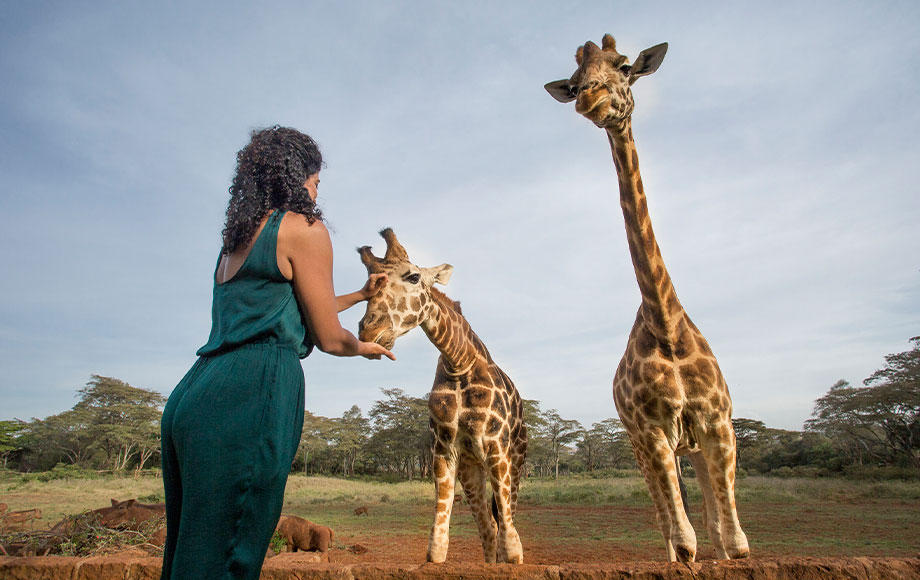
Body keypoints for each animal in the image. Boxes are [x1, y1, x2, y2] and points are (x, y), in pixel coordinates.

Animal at [362, 229, 532, 564]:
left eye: (413, 276)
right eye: (369, 281)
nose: (368, 330)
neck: (459, 362)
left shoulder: (496, 448)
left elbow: (512, 545)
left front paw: (513, 558)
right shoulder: (444, 450)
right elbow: (437, 546)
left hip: (515, 459)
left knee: (504, 520)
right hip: (471, 468)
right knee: (488, 528)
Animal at [548, 35, 748, 560]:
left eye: (623, 66)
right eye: (573, 82)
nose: (590, 100)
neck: (666, 327)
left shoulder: (718, 425)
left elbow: (733, 543)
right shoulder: (652, 431)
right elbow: (684, 543)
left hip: (691, 448)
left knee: (711, 524)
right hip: (642, 446)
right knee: (669, 524)